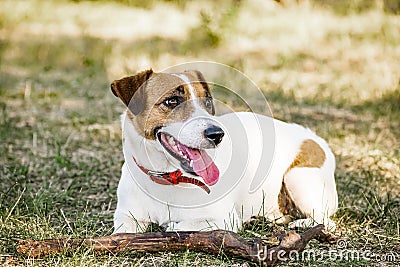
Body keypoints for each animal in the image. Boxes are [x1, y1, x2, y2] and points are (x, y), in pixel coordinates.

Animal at [111, 69, 340, 234]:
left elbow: (180, 227)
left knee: (325, 220)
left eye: (207, 102)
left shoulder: (223, 220)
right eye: (172, 101)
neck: (167, 177)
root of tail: (314, 137)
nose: (217, 134)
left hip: (298, 178)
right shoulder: (126, 216)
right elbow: (122, 232)